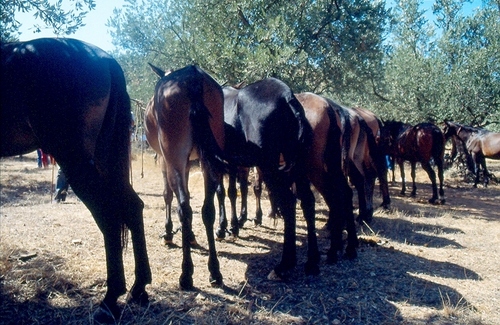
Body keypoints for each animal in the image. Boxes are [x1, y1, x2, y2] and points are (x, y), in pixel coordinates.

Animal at [0, 38, 151, 322]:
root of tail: (106, 59)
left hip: (75, 159)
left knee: (109, 217)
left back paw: (110, 302)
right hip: (103, 159)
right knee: (132, 206)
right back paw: (139, 288)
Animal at [146, 63, 226, 288]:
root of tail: (193, 77)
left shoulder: (164, 160)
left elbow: (167, 195)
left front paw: (168, 232)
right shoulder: (189, 163)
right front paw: (189, 235)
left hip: (174, 155)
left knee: (184, 207)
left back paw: (186, 273)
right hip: (207, 156)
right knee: (207, 209)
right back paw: (214, 271)